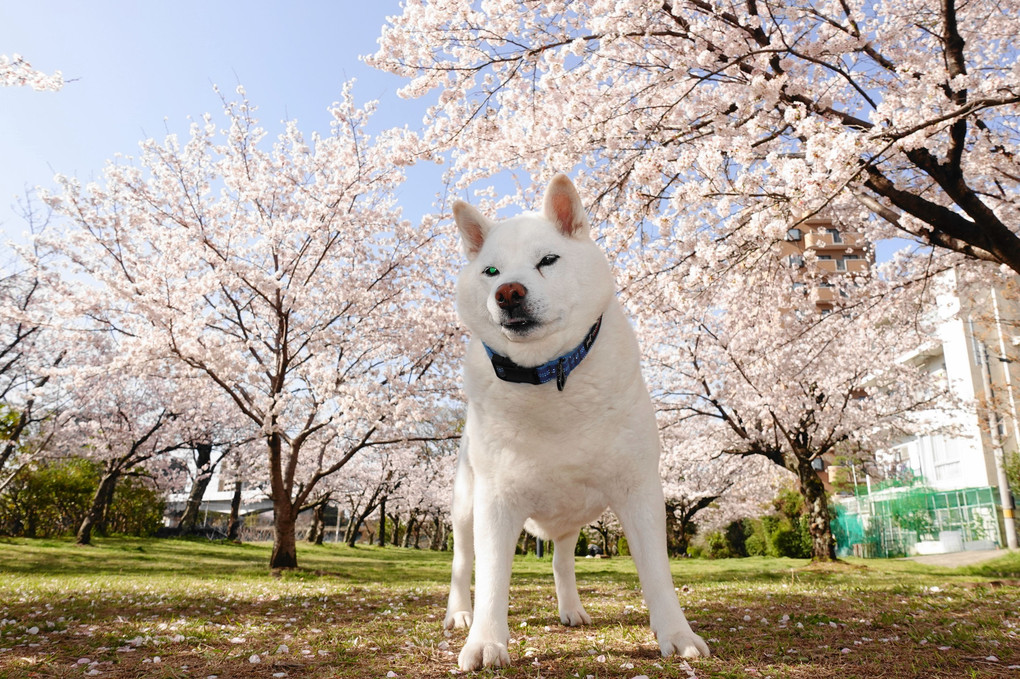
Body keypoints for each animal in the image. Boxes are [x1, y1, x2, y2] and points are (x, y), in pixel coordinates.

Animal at [446, 174, 709, 672]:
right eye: (491, 271)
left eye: (548, 260)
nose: (509, 292)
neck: (549, 377)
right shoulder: (495, 501)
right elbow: (491, 577)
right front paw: (485, 640)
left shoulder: (640, 490)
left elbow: (657, 573)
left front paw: (677, 634)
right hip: (466, 506)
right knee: (462, 562)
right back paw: (459, 614)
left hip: (572, 515)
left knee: (562, 560)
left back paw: (571, 608)